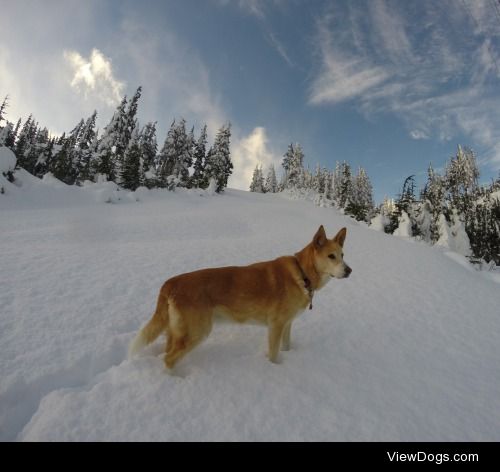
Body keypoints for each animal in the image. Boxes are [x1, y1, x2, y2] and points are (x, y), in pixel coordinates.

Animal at [128, 225, 352, 368]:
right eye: (331, 256)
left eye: (342, 255)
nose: (349, 271)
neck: (302, 273)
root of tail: (171, 282)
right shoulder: (276, 326)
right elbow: (273, 354)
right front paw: (275, 369)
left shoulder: (287, 324)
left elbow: (286, 346)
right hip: (198, 332)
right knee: (168, 359)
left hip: (178, 331)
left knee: (166, 352)